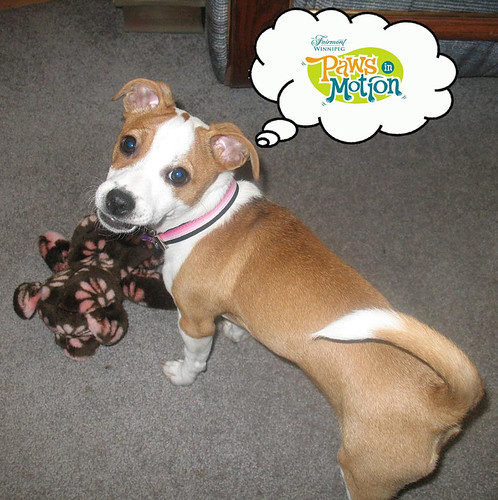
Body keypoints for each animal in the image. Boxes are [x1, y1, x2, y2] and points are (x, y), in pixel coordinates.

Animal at [95, 78, 484, 499]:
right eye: (128, 144)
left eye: (179, 176)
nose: (118, 201)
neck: (207, 216)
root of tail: (441, 403)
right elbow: (235, 320)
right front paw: (236, 331)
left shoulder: (194, 321)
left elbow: (195, 360)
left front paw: (182, 375)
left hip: (365, 475)